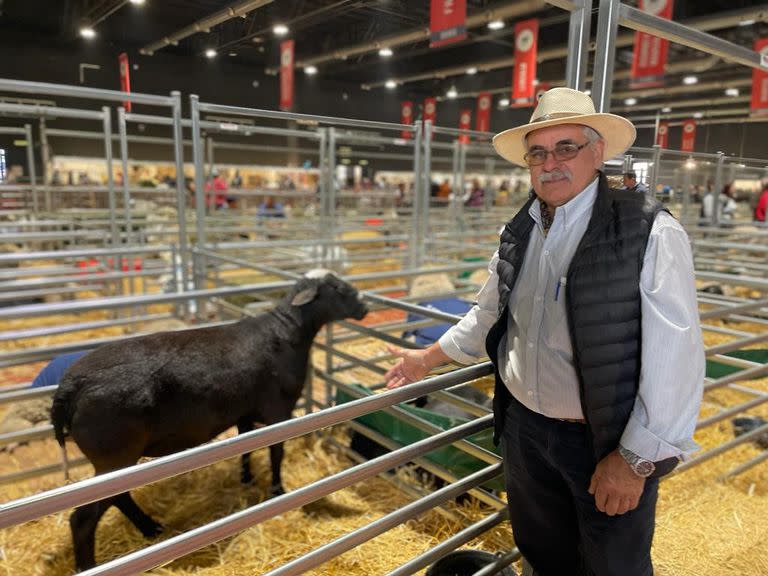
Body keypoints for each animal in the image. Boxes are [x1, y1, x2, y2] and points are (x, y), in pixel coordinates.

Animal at [51, 272, 368, 572]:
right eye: (337, 288)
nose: (365, 307)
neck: (289, 332)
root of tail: (69, 388)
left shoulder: (244, 414)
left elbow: (246, 449)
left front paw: (246, 479)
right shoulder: (279, 413)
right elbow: (277, 454)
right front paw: (277, 490)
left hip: (116, 461)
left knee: (120, 497)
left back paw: (151, 528)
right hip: (114, 455)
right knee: (82, 519)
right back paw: (90, 564)